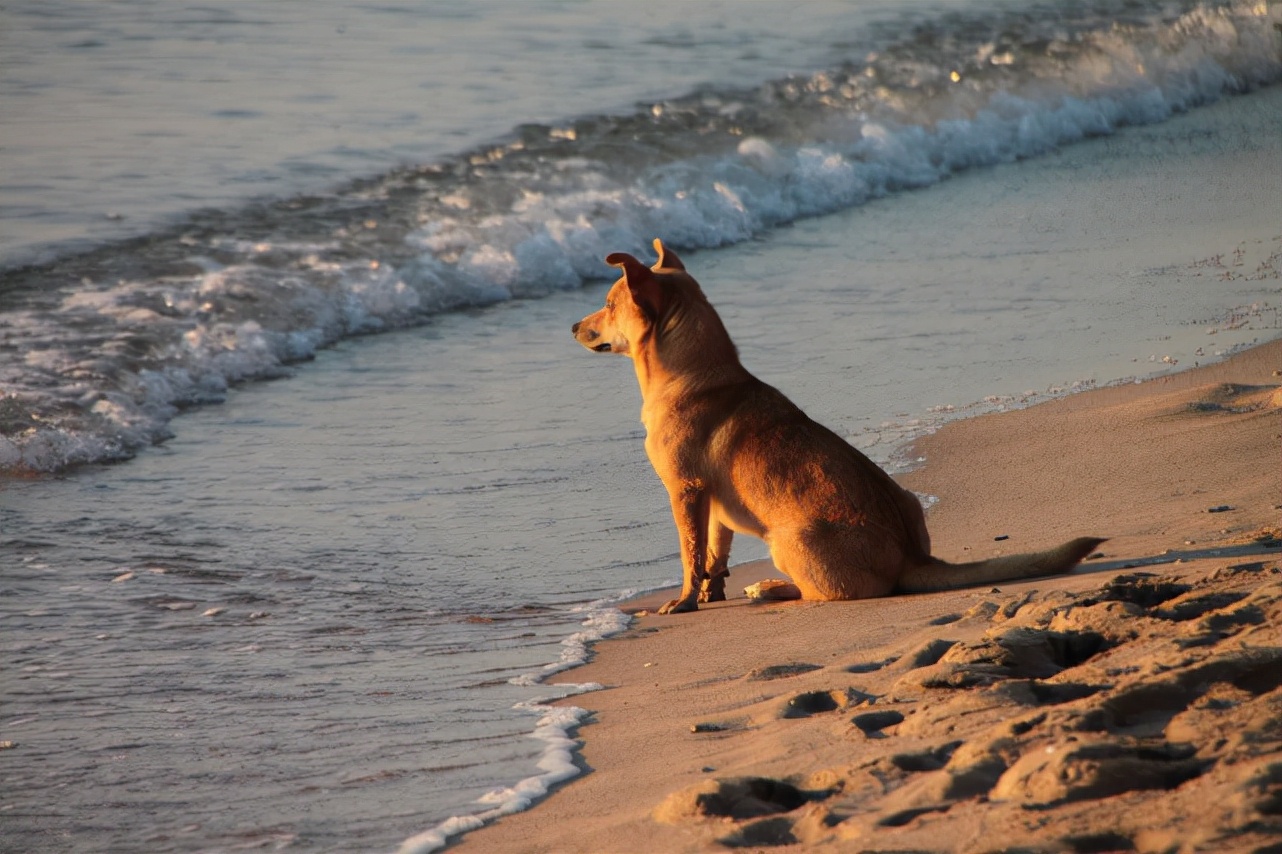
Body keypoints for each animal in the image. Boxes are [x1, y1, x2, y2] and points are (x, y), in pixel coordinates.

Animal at [571, 239, 1102, 612]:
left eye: (610, 304)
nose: (573, 327)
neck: (694, 373)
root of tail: (911, 558)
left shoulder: (685, 492)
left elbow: (689, 555)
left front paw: (683, 602)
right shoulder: (712, 502)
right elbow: (715, 554)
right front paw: (707, 594)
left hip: (787, 540)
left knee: (818, 594)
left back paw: (770, 588)